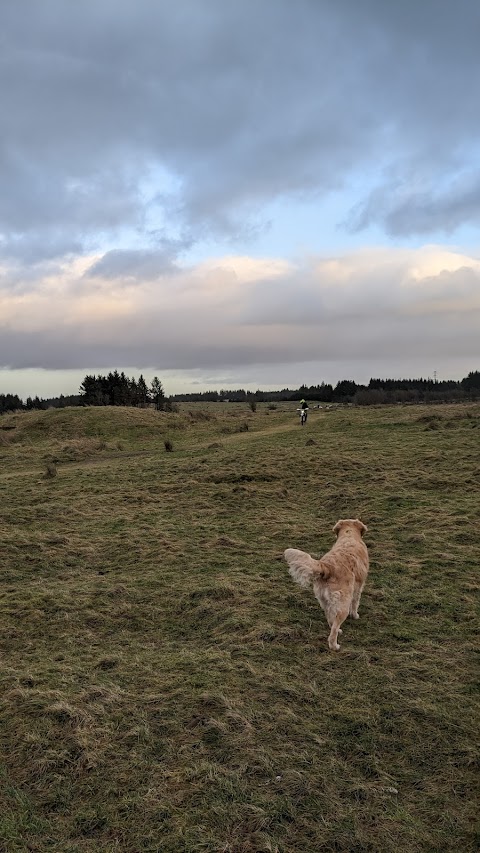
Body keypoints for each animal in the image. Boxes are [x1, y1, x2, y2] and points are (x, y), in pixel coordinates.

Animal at [284, 520, 370, 652]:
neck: (349, 534)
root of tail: (328, 566)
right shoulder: (359, 586)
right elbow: (355, 603)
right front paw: (355, 615)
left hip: (324, 600)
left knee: (330, 620)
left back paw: (338, 631)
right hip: (342, 605)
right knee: (333, 630)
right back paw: (335, 646)